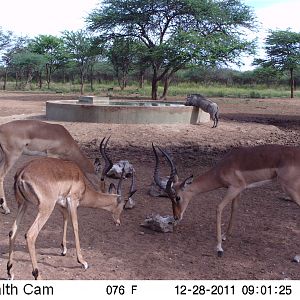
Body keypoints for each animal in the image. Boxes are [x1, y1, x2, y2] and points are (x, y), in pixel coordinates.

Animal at [7, 145, 136, 278]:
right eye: (122, 205)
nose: (118, 222)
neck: (84, 186)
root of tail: (21, 174)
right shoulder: (73, 201)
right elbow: (75, 226)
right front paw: (82, 261)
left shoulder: (61, 204)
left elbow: (65, 218)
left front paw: (64, 249)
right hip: (45, 208)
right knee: (30, 235)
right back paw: (37, 275)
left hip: (23, 205)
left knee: (12, 232)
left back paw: (10, 272)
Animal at [152, 143, 300, 258]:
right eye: (169, 198)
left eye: (177, 197)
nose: (176, 217)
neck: (222, 168)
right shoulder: (239, 190)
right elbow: (234, 209)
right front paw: (225, 236)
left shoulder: (234, 188)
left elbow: (218, 208)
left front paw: (219, 248)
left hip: (290, 189)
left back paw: (297, 256)